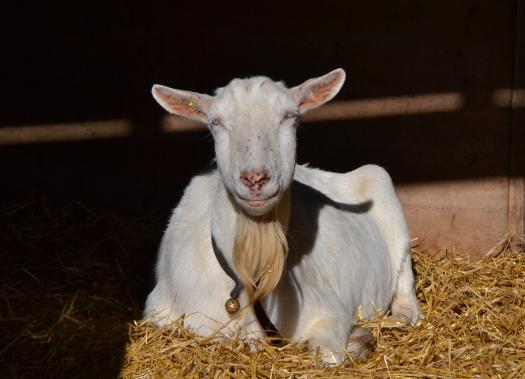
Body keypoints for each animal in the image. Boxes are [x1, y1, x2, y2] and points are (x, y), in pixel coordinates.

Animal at [143, 69, 422, 366]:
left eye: (289, 116)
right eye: (215, 122)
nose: (255, 178)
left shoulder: (330, 309)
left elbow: (327, 355)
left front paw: (360, 339)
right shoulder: (159, 307)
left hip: (380, 182)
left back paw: (401, 316)